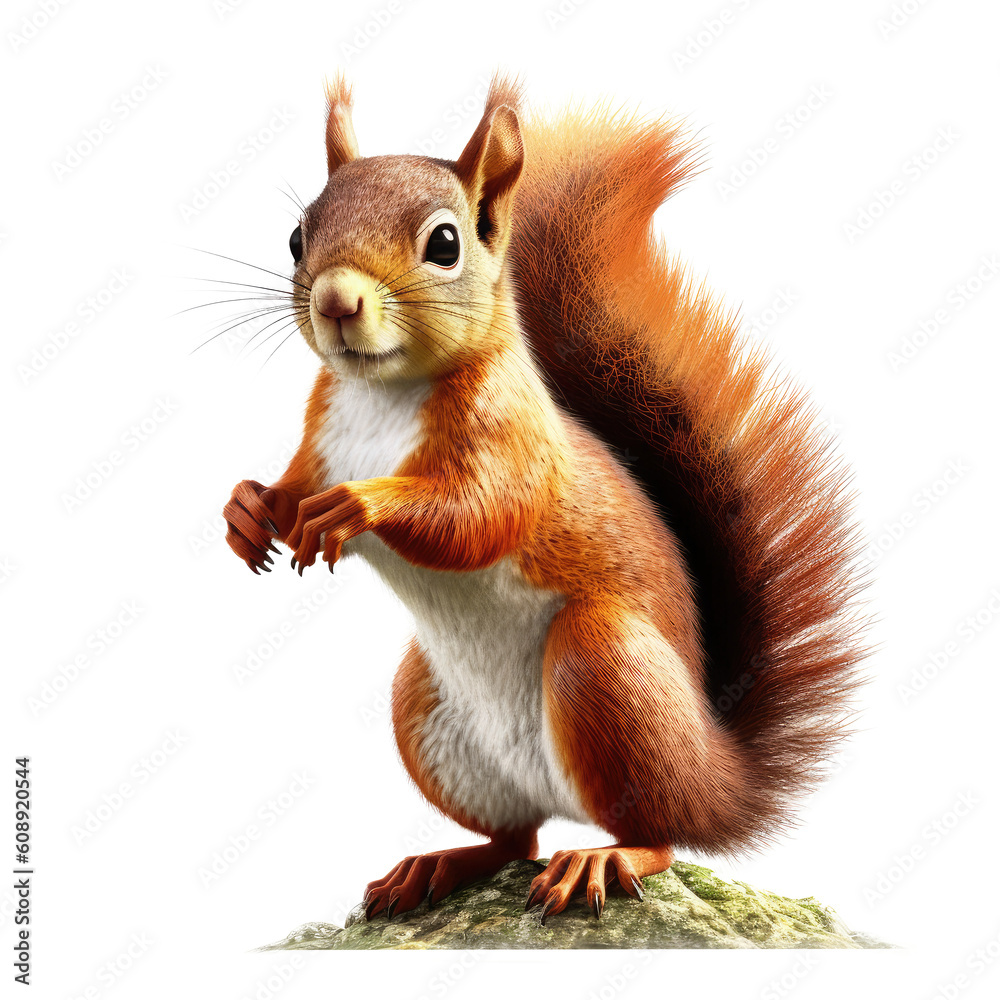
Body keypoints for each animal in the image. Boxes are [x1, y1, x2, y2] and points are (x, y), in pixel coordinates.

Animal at [221, 74, 866, 923]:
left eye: (445, 245)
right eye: (298, 237)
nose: (335, 301)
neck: (383, 393)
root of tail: (719, 778)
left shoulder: (512, 440)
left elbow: (478, 518)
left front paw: (357, 506)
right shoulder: (319, 438)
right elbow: (290, 486)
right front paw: (245, 509)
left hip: (605, 670)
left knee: (657, 835)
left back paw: (603, 857)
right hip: (424, 711)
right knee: (513, 836)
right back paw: (437, 865)